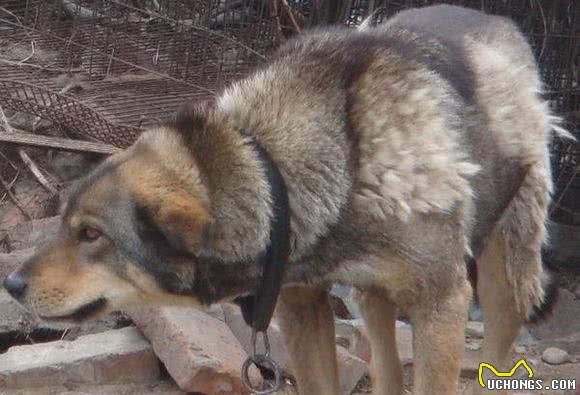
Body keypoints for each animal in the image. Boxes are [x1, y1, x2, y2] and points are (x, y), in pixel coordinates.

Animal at [3, 5, 568, 395]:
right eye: (65, 224)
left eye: (92, 234)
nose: (11, 284)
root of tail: (501, 20)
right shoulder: (302, 304)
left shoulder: (442, 304)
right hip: (372, 297)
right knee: (384, 358)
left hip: (502, 272)